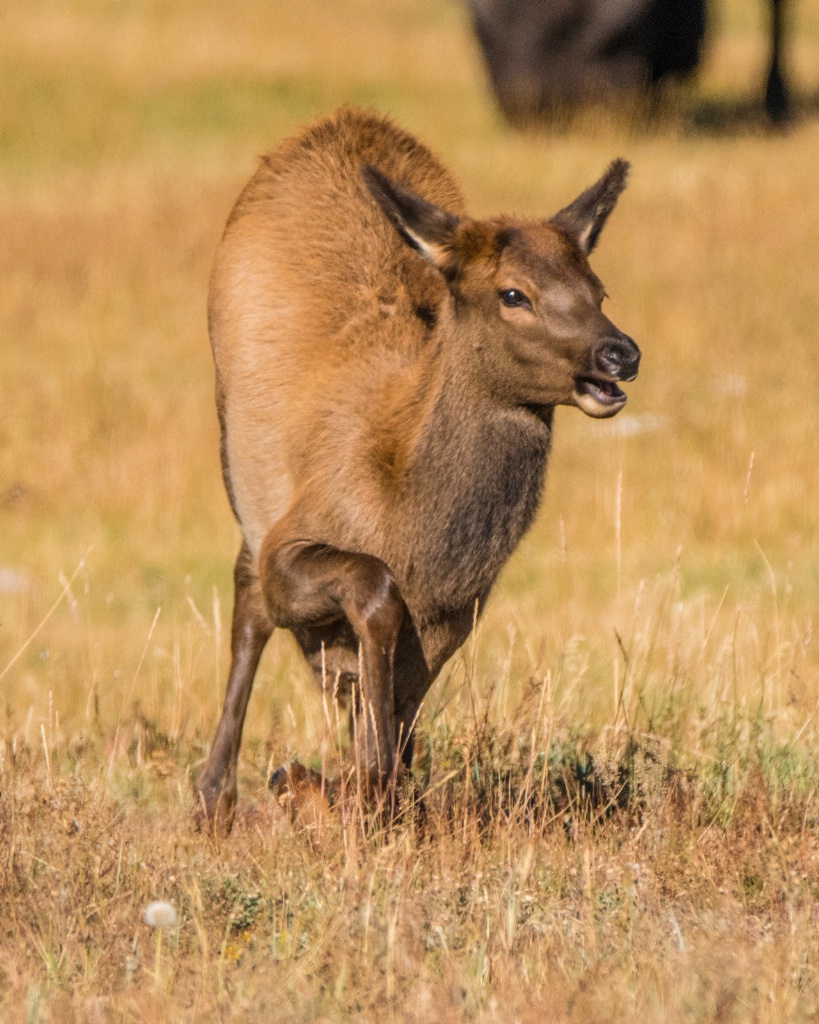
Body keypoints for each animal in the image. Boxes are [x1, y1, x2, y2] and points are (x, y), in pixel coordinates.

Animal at [196, 108, 638, 827]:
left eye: (598, 289)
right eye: (513, 293)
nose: (619, 353)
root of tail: (336, 122)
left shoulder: (456, 613)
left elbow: (398, 704)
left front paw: (368, 790)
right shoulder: (290, 544)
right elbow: (360, 592)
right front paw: (343, 785)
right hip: (240, 463)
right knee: (248, 600)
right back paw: (216, 796)